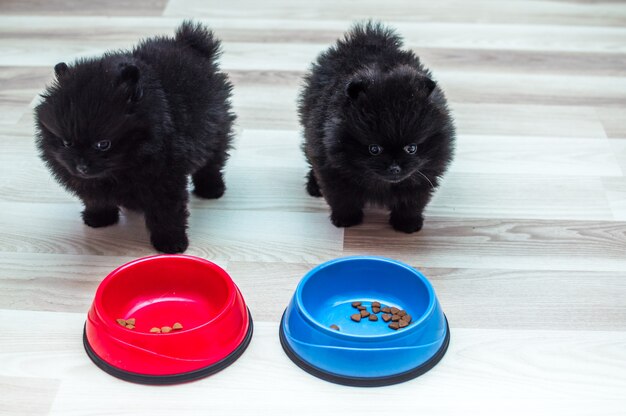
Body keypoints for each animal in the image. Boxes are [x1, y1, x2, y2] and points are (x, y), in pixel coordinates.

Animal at [34, 22, 234, 254]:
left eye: (103, 144)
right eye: (66, 142)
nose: (81, 167)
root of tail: (190, 45)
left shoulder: (165, 180)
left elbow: (166, 213)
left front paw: (171, 242)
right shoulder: (91, 184)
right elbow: (95, 199)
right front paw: (99, 218)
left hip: (215, 132)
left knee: (212, 163)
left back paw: (211, 188)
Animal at [298, 22, 454, 234]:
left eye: (411, 148)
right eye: (374, 149)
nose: (395, 167)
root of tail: (367, 38)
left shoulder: (425, 172)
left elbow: (412, 200)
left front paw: (407, 223)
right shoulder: (333, 167)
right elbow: (342, 197)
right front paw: (346, 219)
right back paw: (313, 186)